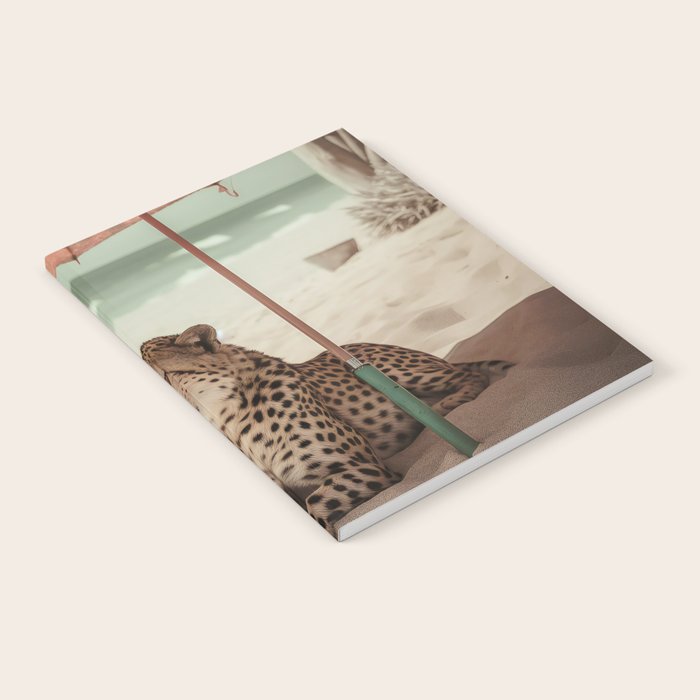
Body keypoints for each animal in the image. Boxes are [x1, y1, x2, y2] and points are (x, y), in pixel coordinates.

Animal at [141, 324, 512, 537]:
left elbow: (317, 501)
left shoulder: (371, 467)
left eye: (164, 374)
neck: (234, 414)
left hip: (401, 372)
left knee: (471, 375)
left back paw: (443, 406)